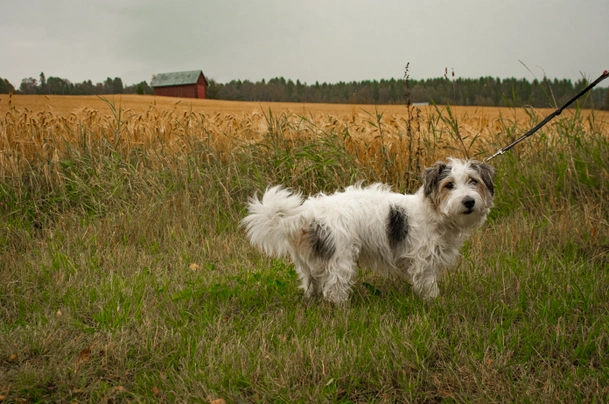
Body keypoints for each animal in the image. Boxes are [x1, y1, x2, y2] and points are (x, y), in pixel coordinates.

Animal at [242, 158, 494, 304]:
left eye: (473, 181)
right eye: (449, 185)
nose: (469, 201)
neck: (432, 212)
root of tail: (308, 213)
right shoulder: (423, 262)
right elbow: (427, 284)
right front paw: (433, 302)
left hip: (309, 260)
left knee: (311, 283)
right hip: (340, 257)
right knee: (334, 288)